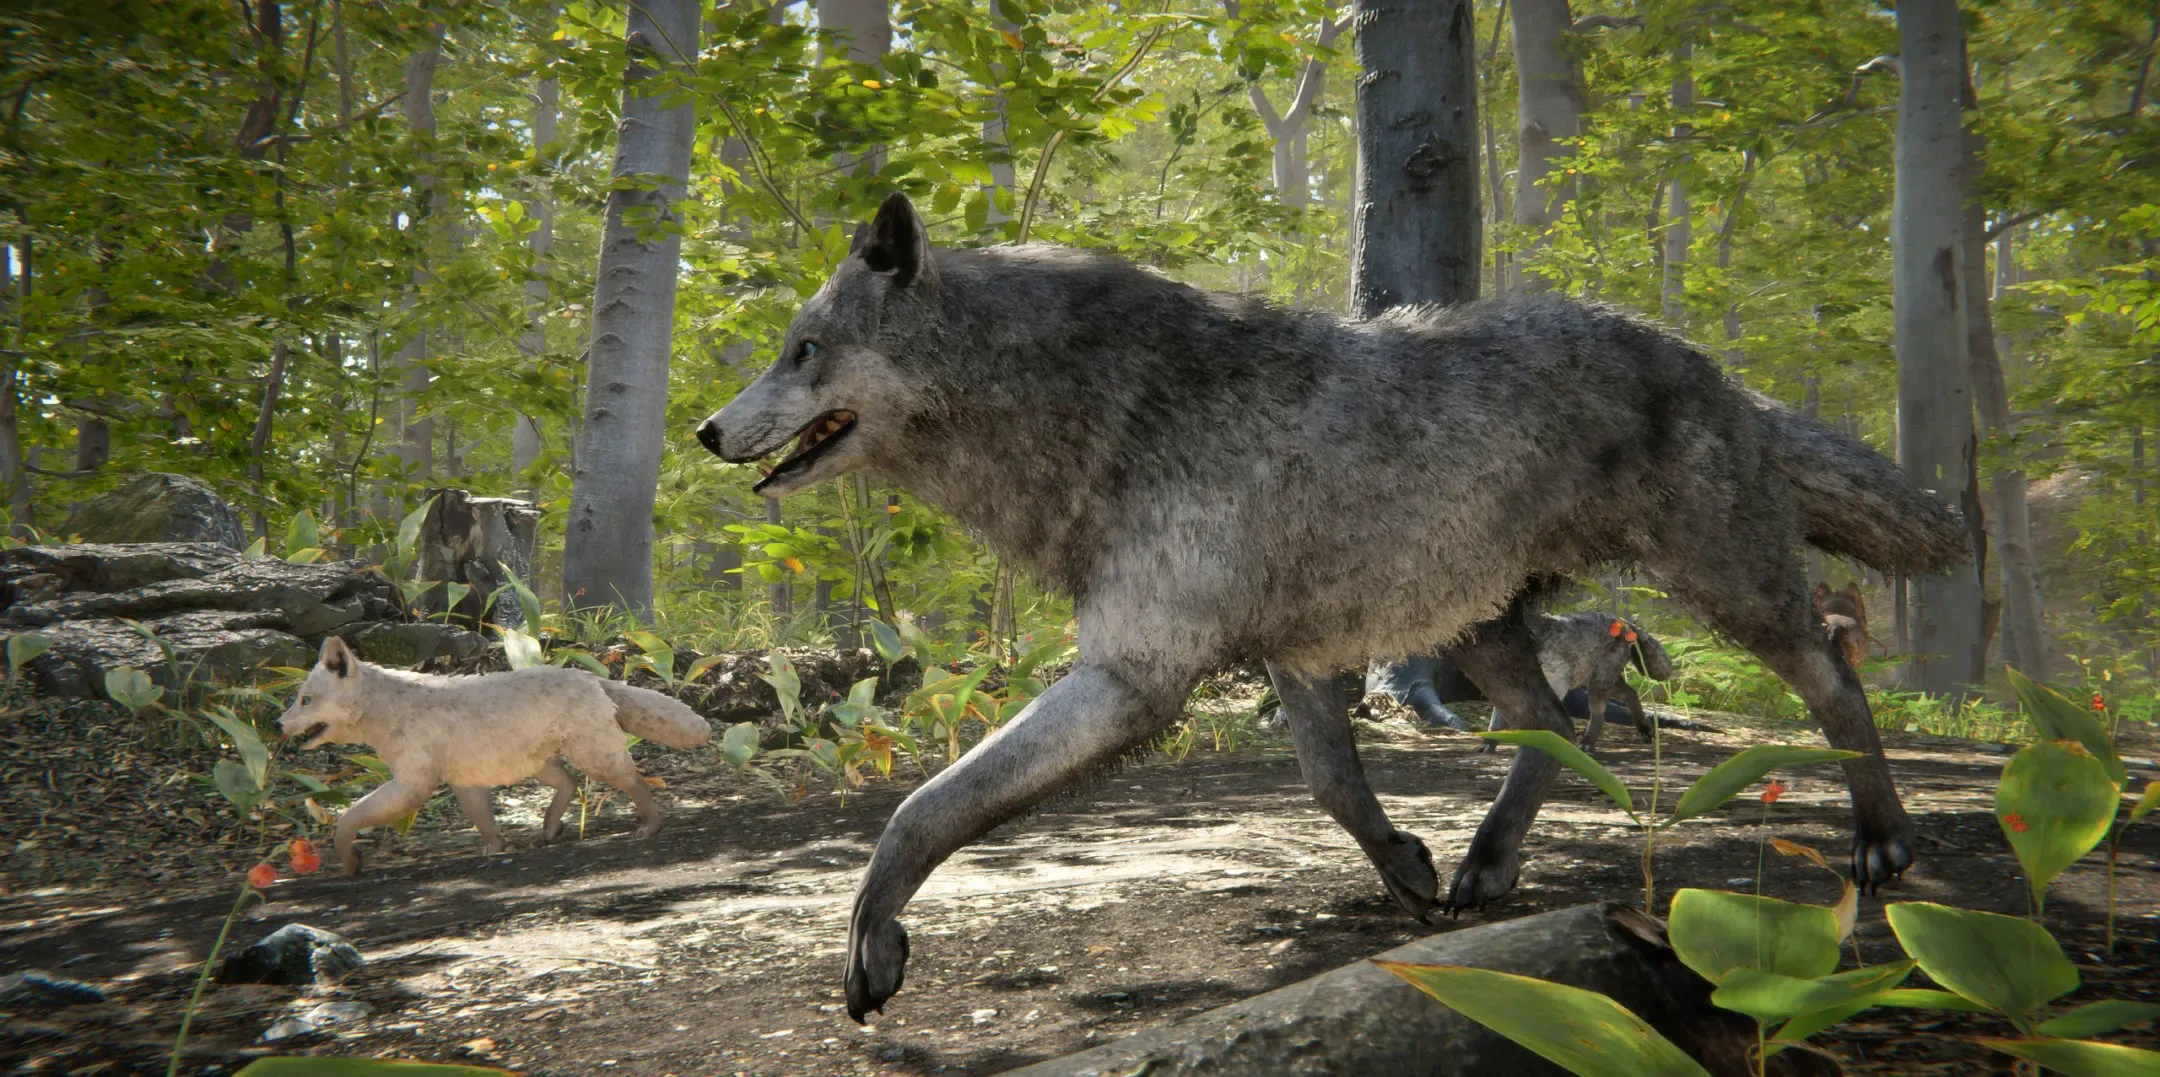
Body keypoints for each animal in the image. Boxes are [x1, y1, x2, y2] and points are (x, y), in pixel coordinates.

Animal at [277, 637, 713, 875]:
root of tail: (589, 675)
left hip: (593, 758)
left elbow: (348, 817)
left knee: (635, 780)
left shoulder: (414, 785)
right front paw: (494, 849)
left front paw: (350, 861)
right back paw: (549, 830)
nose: (279, 724)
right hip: (543, 765)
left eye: (305, 700)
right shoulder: (464, 781)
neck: (391, 712)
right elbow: (485, 825)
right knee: (570, 784)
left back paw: (649, 827)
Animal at [694, 193, 1969, 1020]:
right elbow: (1332, 785)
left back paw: (1883, 840)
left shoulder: (1131, 678)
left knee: (1834, 676)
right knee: (1556, 727)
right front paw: (1407, 866)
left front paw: (872, 938)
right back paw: (1487, 866)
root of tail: (1725, 376)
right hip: (1481, 629)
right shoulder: (1293, 657)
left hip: (1729, 593)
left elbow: (924, 806)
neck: (1110, 412)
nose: (706, 429)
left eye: (803, 351)